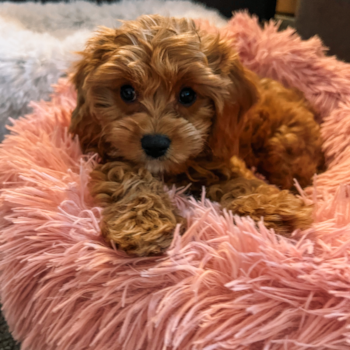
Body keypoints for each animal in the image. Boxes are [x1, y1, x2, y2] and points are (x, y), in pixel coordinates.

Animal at [69, 15, 324, 256]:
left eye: (187, 95)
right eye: (127, 92)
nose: (154, 144)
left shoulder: (223, 155)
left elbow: (242, 181)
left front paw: (275, 208)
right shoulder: (113, 154)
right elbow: (130, 176)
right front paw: (143, 222)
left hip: (281, 148)